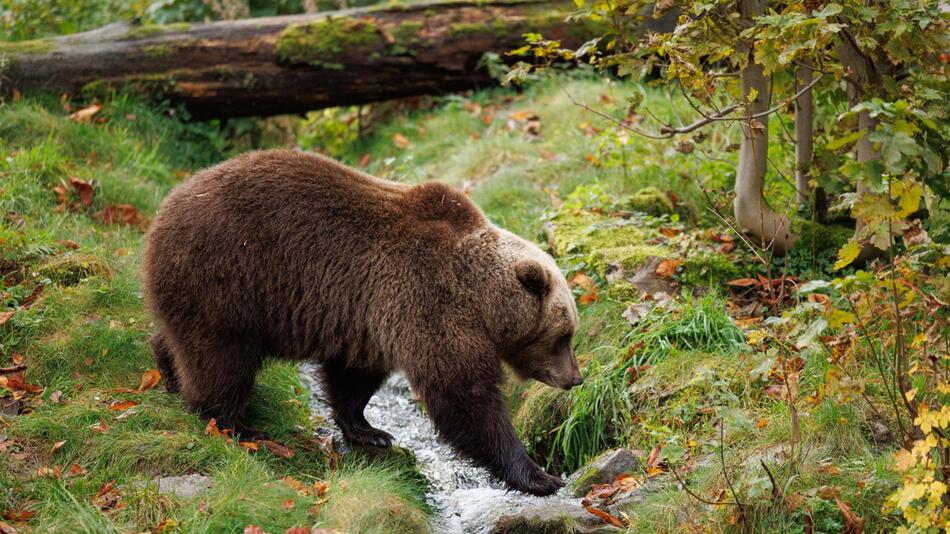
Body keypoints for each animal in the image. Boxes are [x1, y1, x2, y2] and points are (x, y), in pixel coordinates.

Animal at [144, 149, 584, 496]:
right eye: (564, 336)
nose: (576, 378)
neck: (481, 298)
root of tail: (162, 212)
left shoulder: (370, 316)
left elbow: (353, 377)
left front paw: (370, 431)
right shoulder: (430, 299)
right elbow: (463, 393)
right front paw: (538, 475)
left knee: (182, 339)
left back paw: (168, 370)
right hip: (229, 277)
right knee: (222, 358)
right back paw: (238, 425)